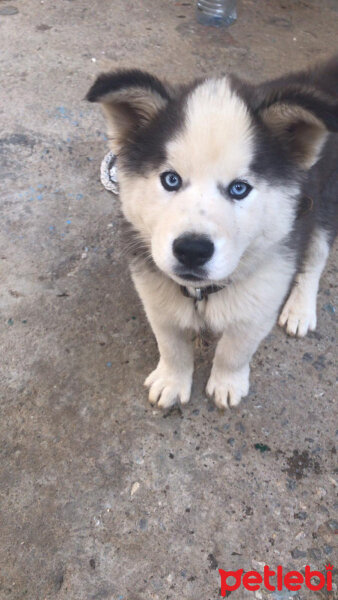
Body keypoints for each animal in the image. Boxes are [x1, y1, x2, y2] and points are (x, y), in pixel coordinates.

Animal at [88, 58, 338, 410]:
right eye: (170, 180)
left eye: (239, 188)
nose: (192, 250)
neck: (201, 293)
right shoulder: (153, 288)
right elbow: (170, 342)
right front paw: (172, 379)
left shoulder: (263, 292)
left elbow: (235, 349)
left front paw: (226, 383)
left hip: (325, 201)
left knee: (316, 255)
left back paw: (300, 309)